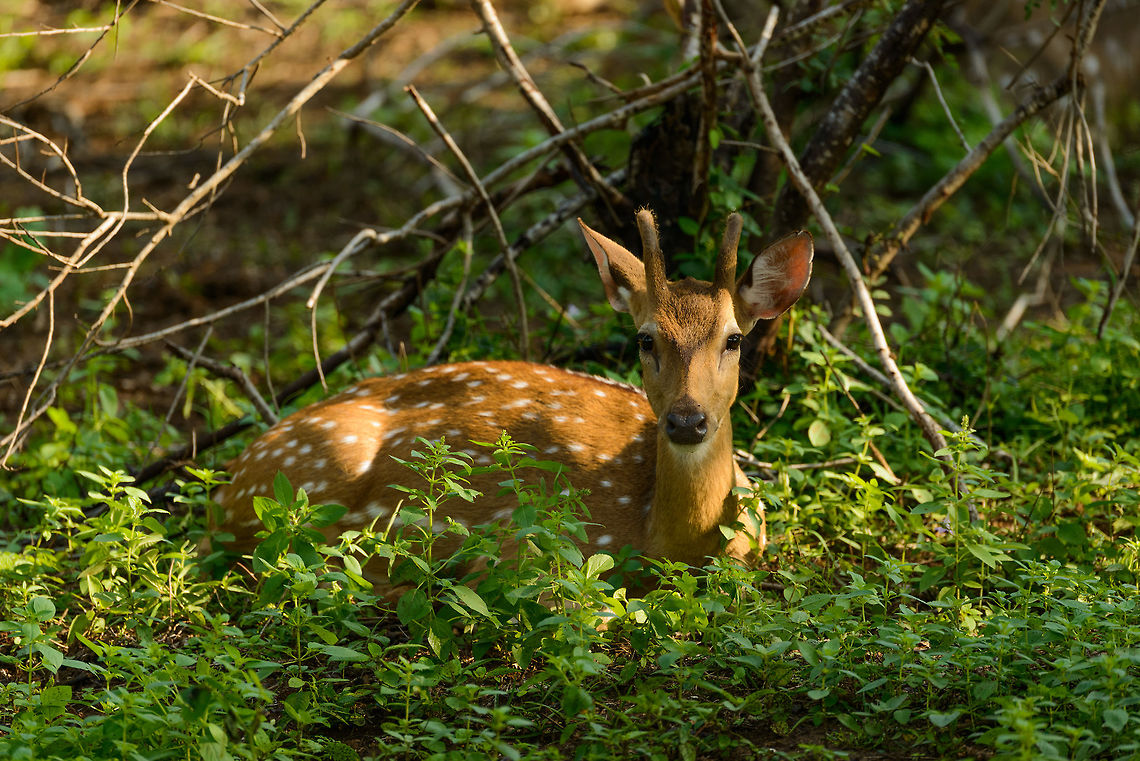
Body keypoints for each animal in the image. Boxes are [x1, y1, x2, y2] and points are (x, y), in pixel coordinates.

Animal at [210, 210, 813, 597]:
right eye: (645, 339)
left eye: (733, 339)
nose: (687, 421)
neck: (666, 537)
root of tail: (229, 483)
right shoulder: (527, 545)